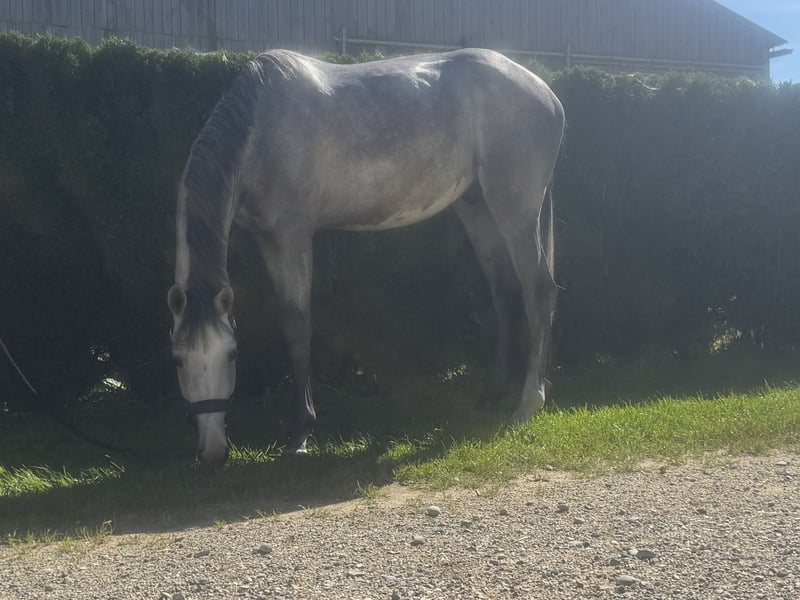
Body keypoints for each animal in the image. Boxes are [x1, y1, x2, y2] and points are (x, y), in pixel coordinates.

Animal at [168, 48, 564, 465]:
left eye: (231, 355)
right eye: (178, 359)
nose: (213, 451)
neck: (259, 132)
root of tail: (546, 93)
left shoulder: (292, 237)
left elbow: (298, 325)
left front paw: (301, 432)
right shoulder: (267, 240)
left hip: (516, 212)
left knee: (539, 291)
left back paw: (527, 403)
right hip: (478, 210)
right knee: (504, 292)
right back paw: (493, 391)